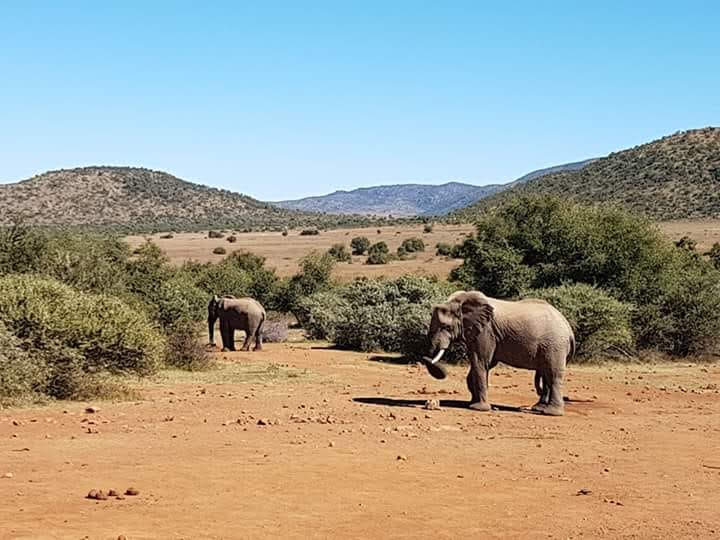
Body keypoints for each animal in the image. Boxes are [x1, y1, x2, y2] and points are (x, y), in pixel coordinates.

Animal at [424, 290, 575, 416]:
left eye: (446, 327)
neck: (462, 301)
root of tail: (568, 328)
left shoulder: (486, 331)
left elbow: (480, 362)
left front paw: (478, 408)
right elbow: (484, 364)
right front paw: (471, 403)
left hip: (555, 345)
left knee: (553, 374)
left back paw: (551, 413)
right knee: (546, 373)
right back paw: (539, 408)